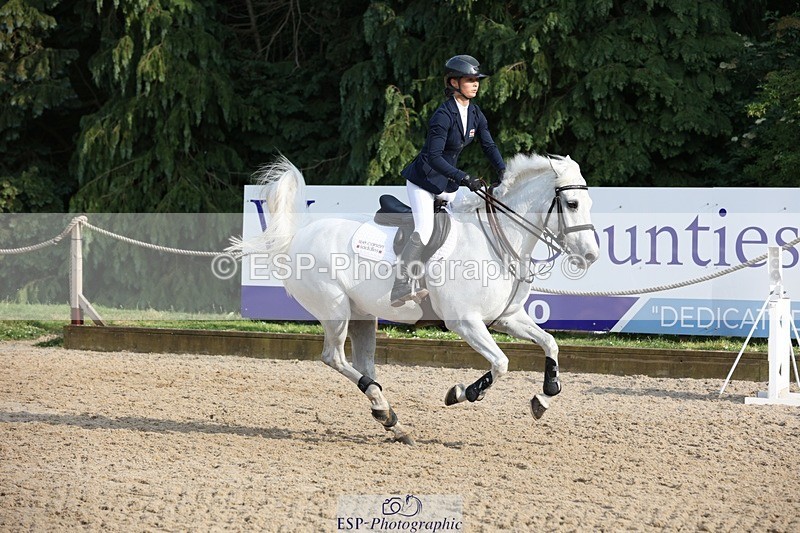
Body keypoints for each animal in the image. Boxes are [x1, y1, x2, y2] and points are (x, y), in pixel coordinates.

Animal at [235, 153, 599, 445]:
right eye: (572, 204)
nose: (591, 256)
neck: (496, 239)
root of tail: (299, 236)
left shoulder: (507, 318)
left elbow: (550, 343)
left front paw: (544, 397)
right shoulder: (465, 322)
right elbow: (501, 363)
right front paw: (462, 393)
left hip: (362, 316)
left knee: (363, 364)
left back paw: (390, 418)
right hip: (334, 309)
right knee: (333, 357)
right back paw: (386, 412)